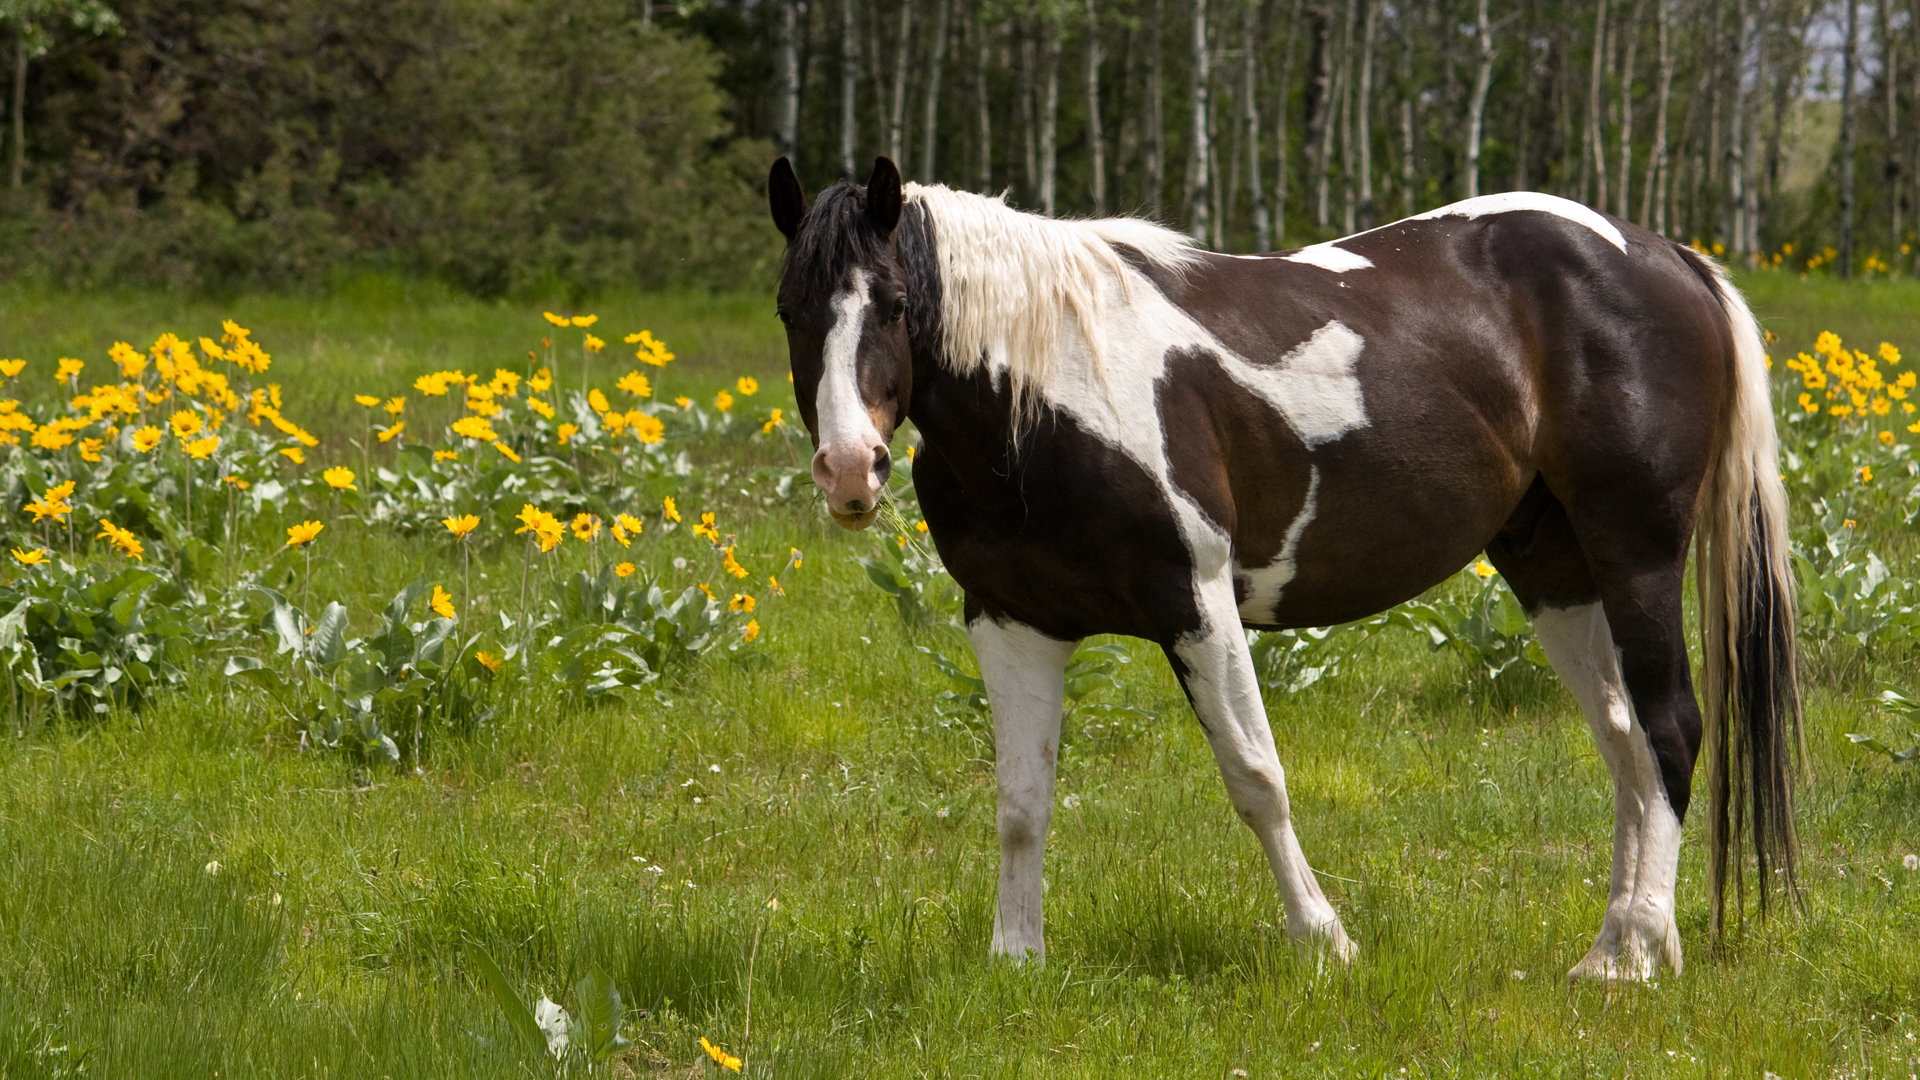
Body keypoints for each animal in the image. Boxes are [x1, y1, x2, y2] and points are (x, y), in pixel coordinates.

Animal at [766, 155, 1799, 981]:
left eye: (897, 304)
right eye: (791, 310)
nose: (850, 470)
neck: (1047, 392)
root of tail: (1669, 257)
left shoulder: (1194, 602)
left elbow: (1257, 778)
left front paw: (1326, 943)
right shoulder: (1012, 621)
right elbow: (1022, 799)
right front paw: (1015, 960)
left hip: (1638, 552)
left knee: (1670, 729)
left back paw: (1632, 954)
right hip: (1553, 565)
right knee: (1625, 742)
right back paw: (1628, 944)